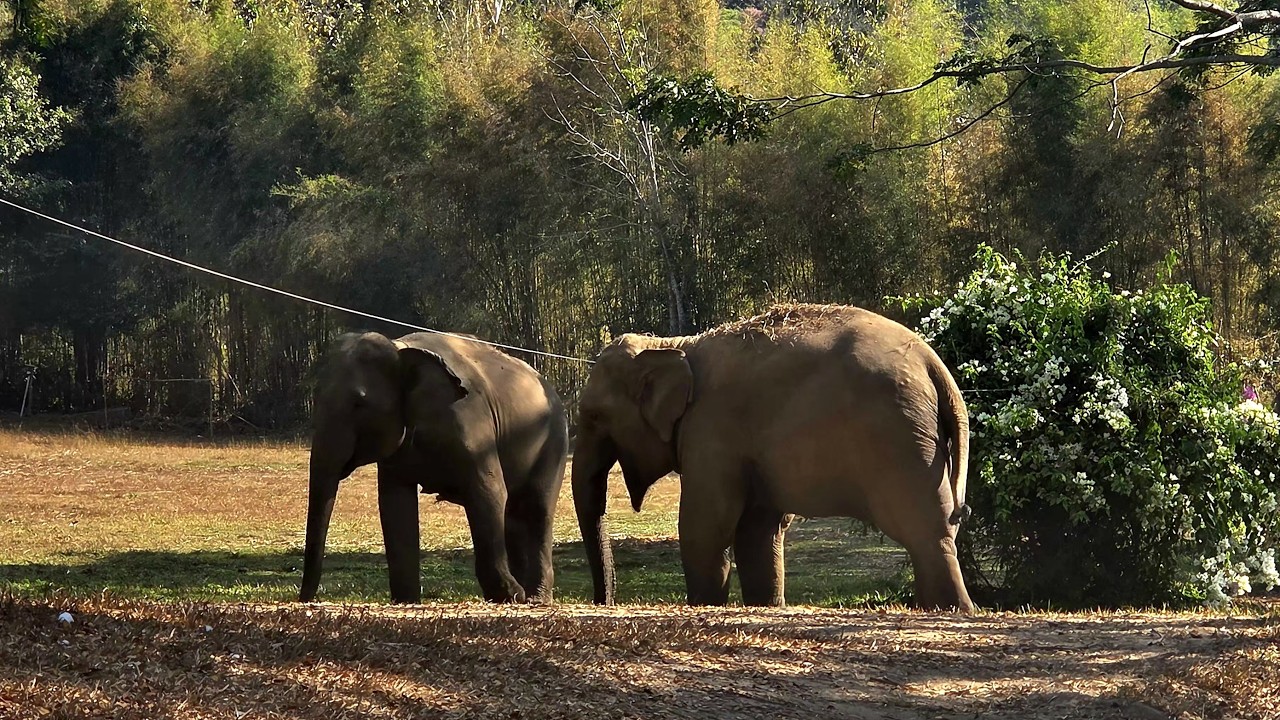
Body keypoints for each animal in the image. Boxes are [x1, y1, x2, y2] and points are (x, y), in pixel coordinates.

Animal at [300, 331, 569, 604]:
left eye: (359, 403)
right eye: (315, 397)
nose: (307, 598)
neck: (400, 348)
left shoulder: (469, 422)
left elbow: (489, 493)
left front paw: (510, 596)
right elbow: (395, 506)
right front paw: (406, 601)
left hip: (554, 441)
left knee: (538, 508)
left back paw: (535, 598)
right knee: (514, 515)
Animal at [572, 303, 975, 612]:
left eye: (593, 416)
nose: (604, 602)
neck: (674, 346)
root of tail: (934, 365)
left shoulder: (711, 431)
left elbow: (705, 526)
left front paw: (705, 604)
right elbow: (758, 532)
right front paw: (765, 605)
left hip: (900, 439)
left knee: (924, 530)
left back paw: (952, 609)